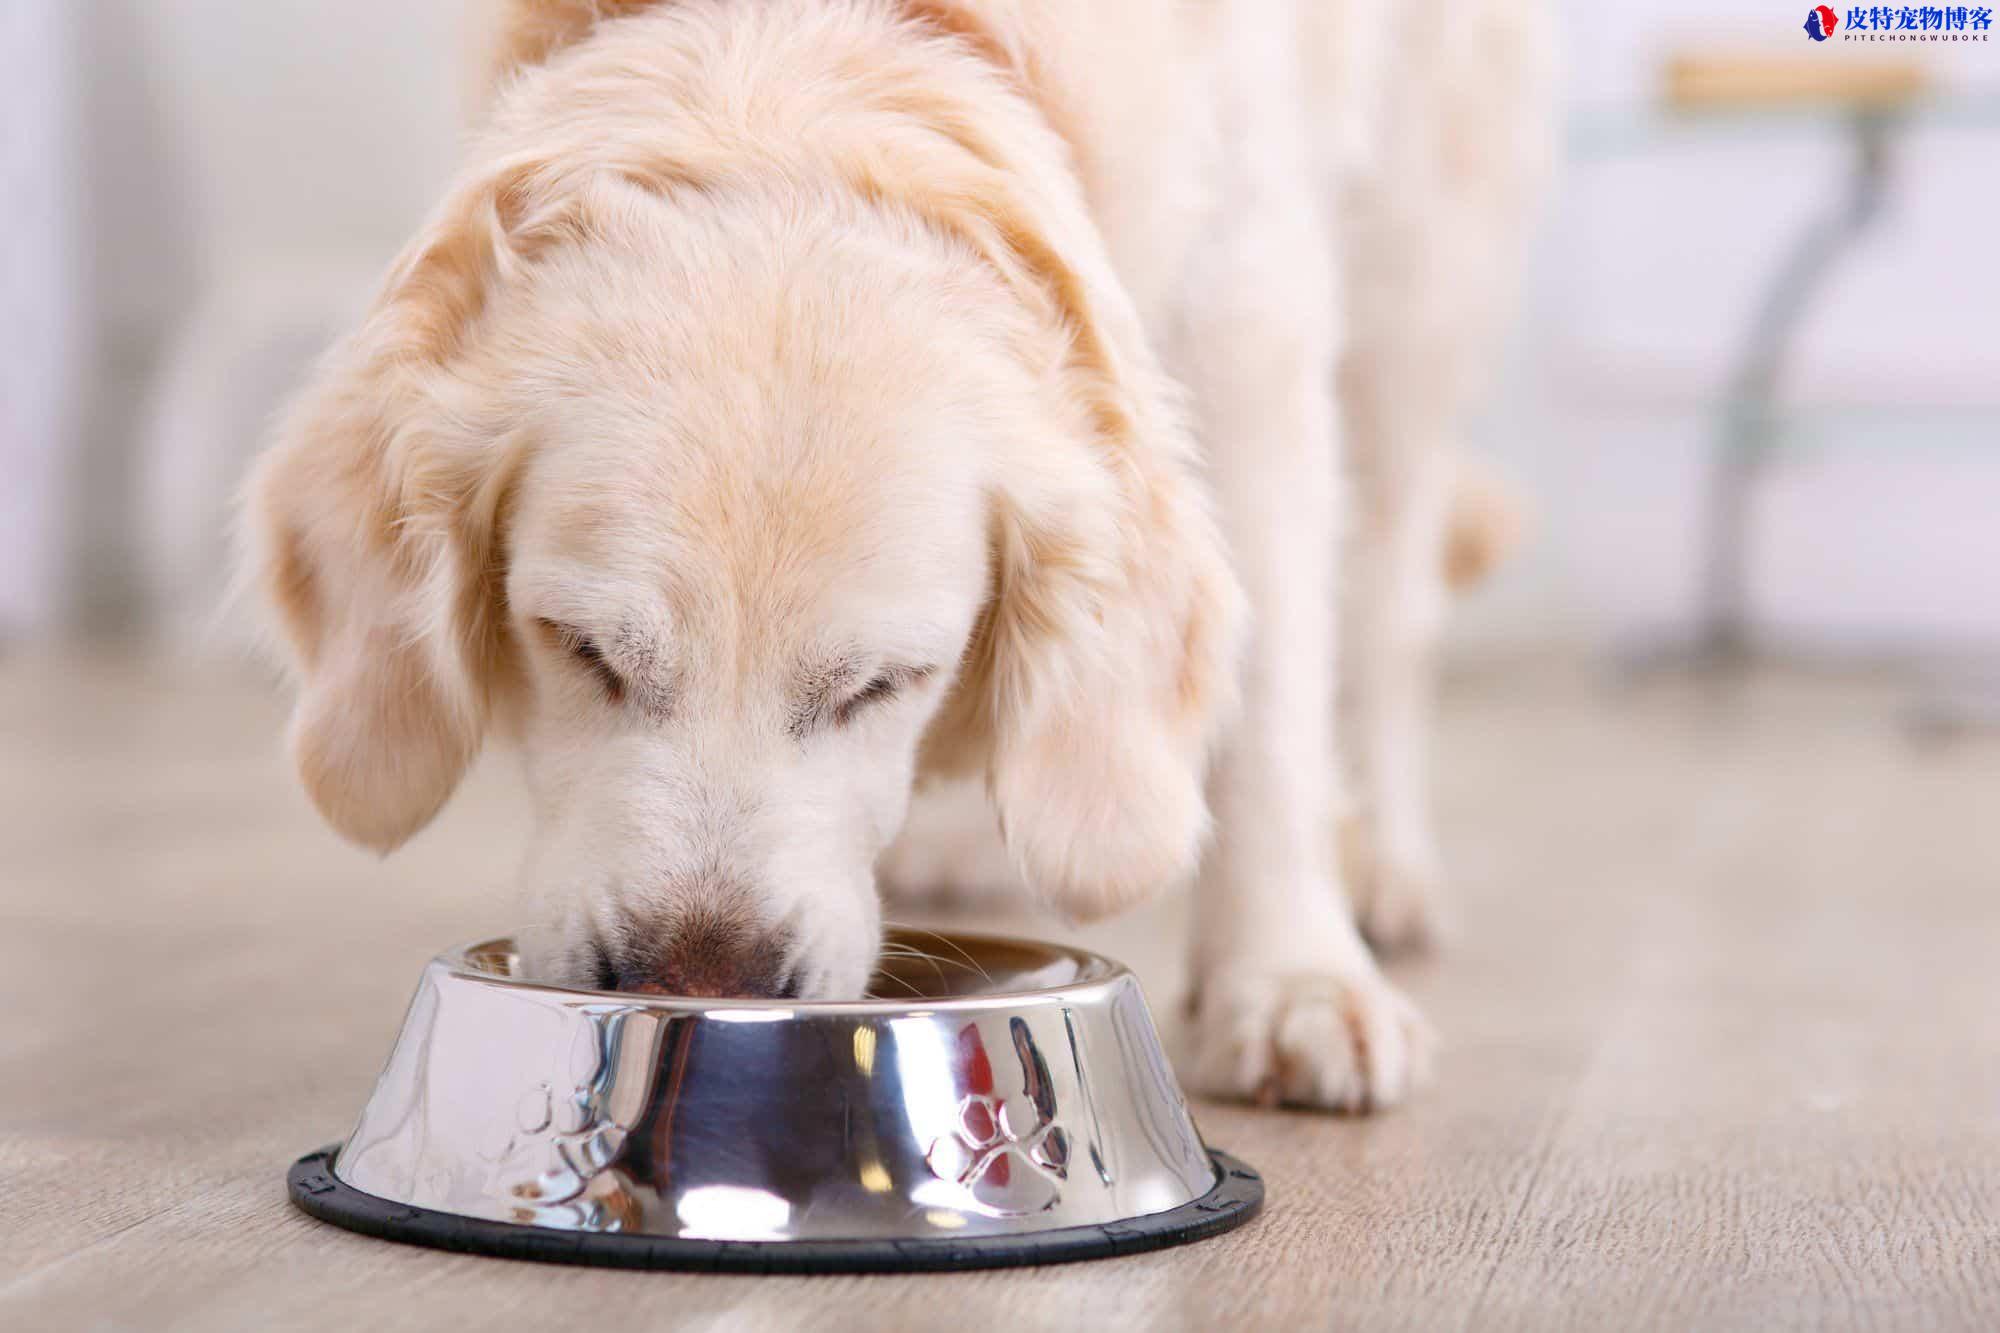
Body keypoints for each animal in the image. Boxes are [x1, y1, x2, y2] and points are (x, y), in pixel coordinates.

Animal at [242, 0, 1552, 1104]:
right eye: (580, 650)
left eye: (884, 683)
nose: (701, 986)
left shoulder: (1249, 308)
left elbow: (1272, 694)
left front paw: (1288, 979)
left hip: (1418, 271)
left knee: (1384, 605)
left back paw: (1379, 866)